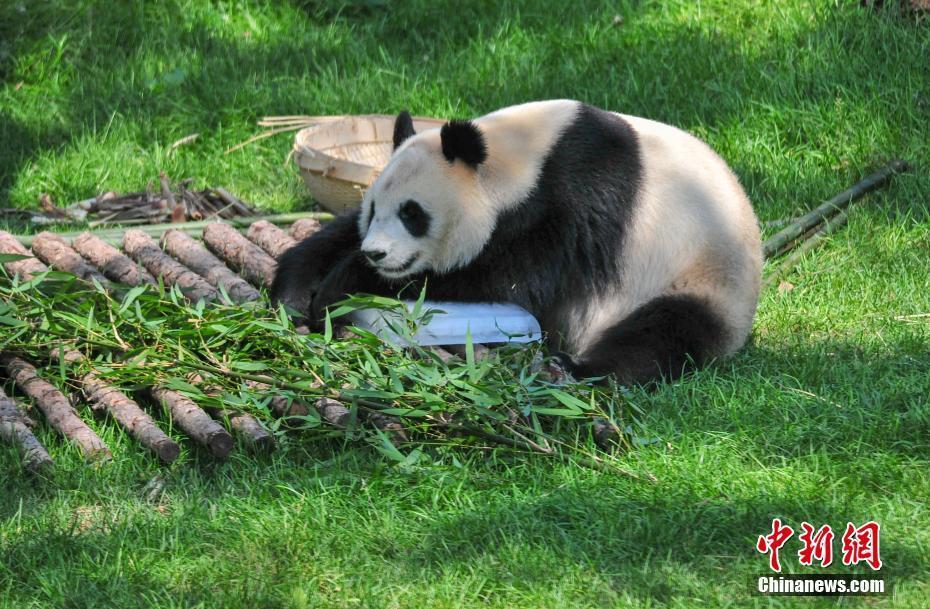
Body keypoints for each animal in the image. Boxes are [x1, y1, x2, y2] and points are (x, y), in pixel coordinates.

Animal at [270, 100, 760, 384]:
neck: (519, 156)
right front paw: (294, 292)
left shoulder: (577, 196)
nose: (377, 254)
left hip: (699, 277)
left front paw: (340, 286)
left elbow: (509, 279)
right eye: (374, 210)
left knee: (659, 334)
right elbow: (334, 236)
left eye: (412, 213)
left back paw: (572, 369)